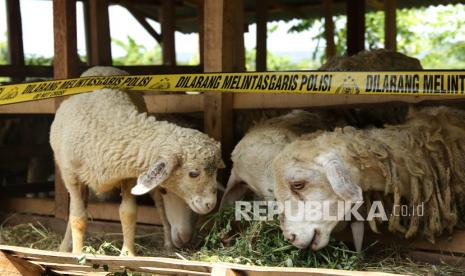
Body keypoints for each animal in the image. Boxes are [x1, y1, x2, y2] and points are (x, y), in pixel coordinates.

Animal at [51, 66, 223, 254]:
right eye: (193, 173)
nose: (210, 204)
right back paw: (64, 247)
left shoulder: (128, 175)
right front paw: (77, 254)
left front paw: (127, 253)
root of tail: (103, 67)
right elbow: (77, 217)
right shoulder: (71, 177)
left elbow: (128, 213)